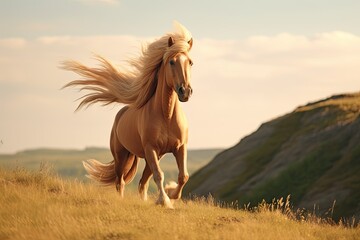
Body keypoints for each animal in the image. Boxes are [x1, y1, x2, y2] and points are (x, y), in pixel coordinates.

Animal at [62, 22, 194, 208]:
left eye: (190, 62)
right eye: (172, 62)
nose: (185, 92)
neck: (166, 116)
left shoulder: (179, 148)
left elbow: (183, 176)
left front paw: (170, 194)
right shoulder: (151, 149)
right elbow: (159, 175)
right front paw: (164, 200)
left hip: (151, 157)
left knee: (142, 183)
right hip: (122, 156)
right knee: (121, 181)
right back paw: (122, 199)